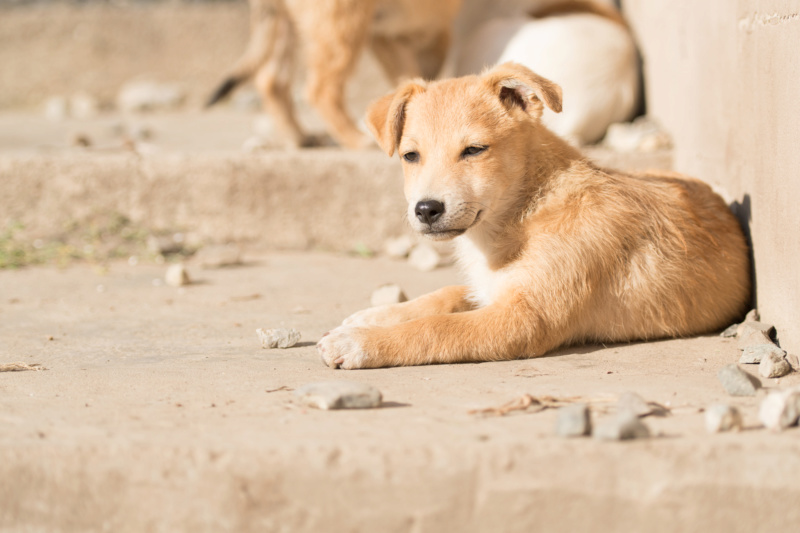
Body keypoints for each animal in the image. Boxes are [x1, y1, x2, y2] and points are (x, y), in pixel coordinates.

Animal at [206, 0, 462, 150]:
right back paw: (355, 138)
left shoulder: (392, 36)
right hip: (344, 21)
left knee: (271, 81)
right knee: (321, 89)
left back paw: (300, 138)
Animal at [318, 62, 752, 368]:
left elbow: (436, 327)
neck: (523, 213)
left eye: (474, 150)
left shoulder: (524, 320)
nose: (426, 209)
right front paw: (373, 317)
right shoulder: (492, 290)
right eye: (410, 156)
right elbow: (440, 297)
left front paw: (359, 342)